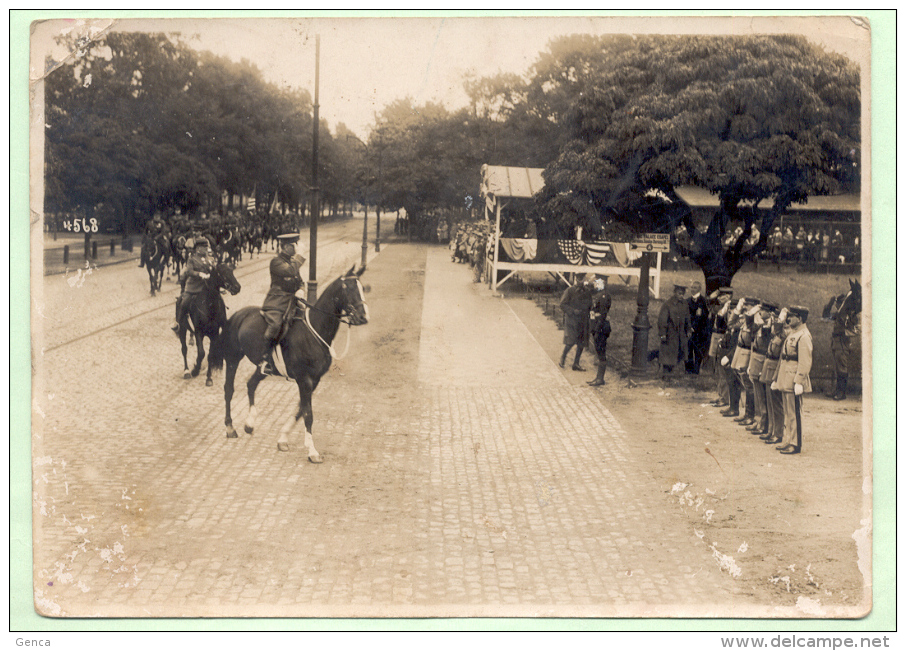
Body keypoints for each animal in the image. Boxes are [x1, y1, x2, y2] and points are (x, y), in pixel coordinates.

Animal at [218, 264, 368, 464]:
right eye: (348, 288)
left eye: (362, 287)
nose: (363, 317)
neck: (314, 331)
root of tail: (237, 315)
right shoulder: (304, 380)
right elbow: (308, 414)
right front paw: (312, 452)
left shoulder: (314, 380)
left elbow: (299, 411)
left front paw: (283, 439)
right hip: (233, 358)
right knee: (229, 390)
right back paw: (230, 428)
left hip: (262, 368)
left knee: (251, 384)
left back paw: (249, 424)